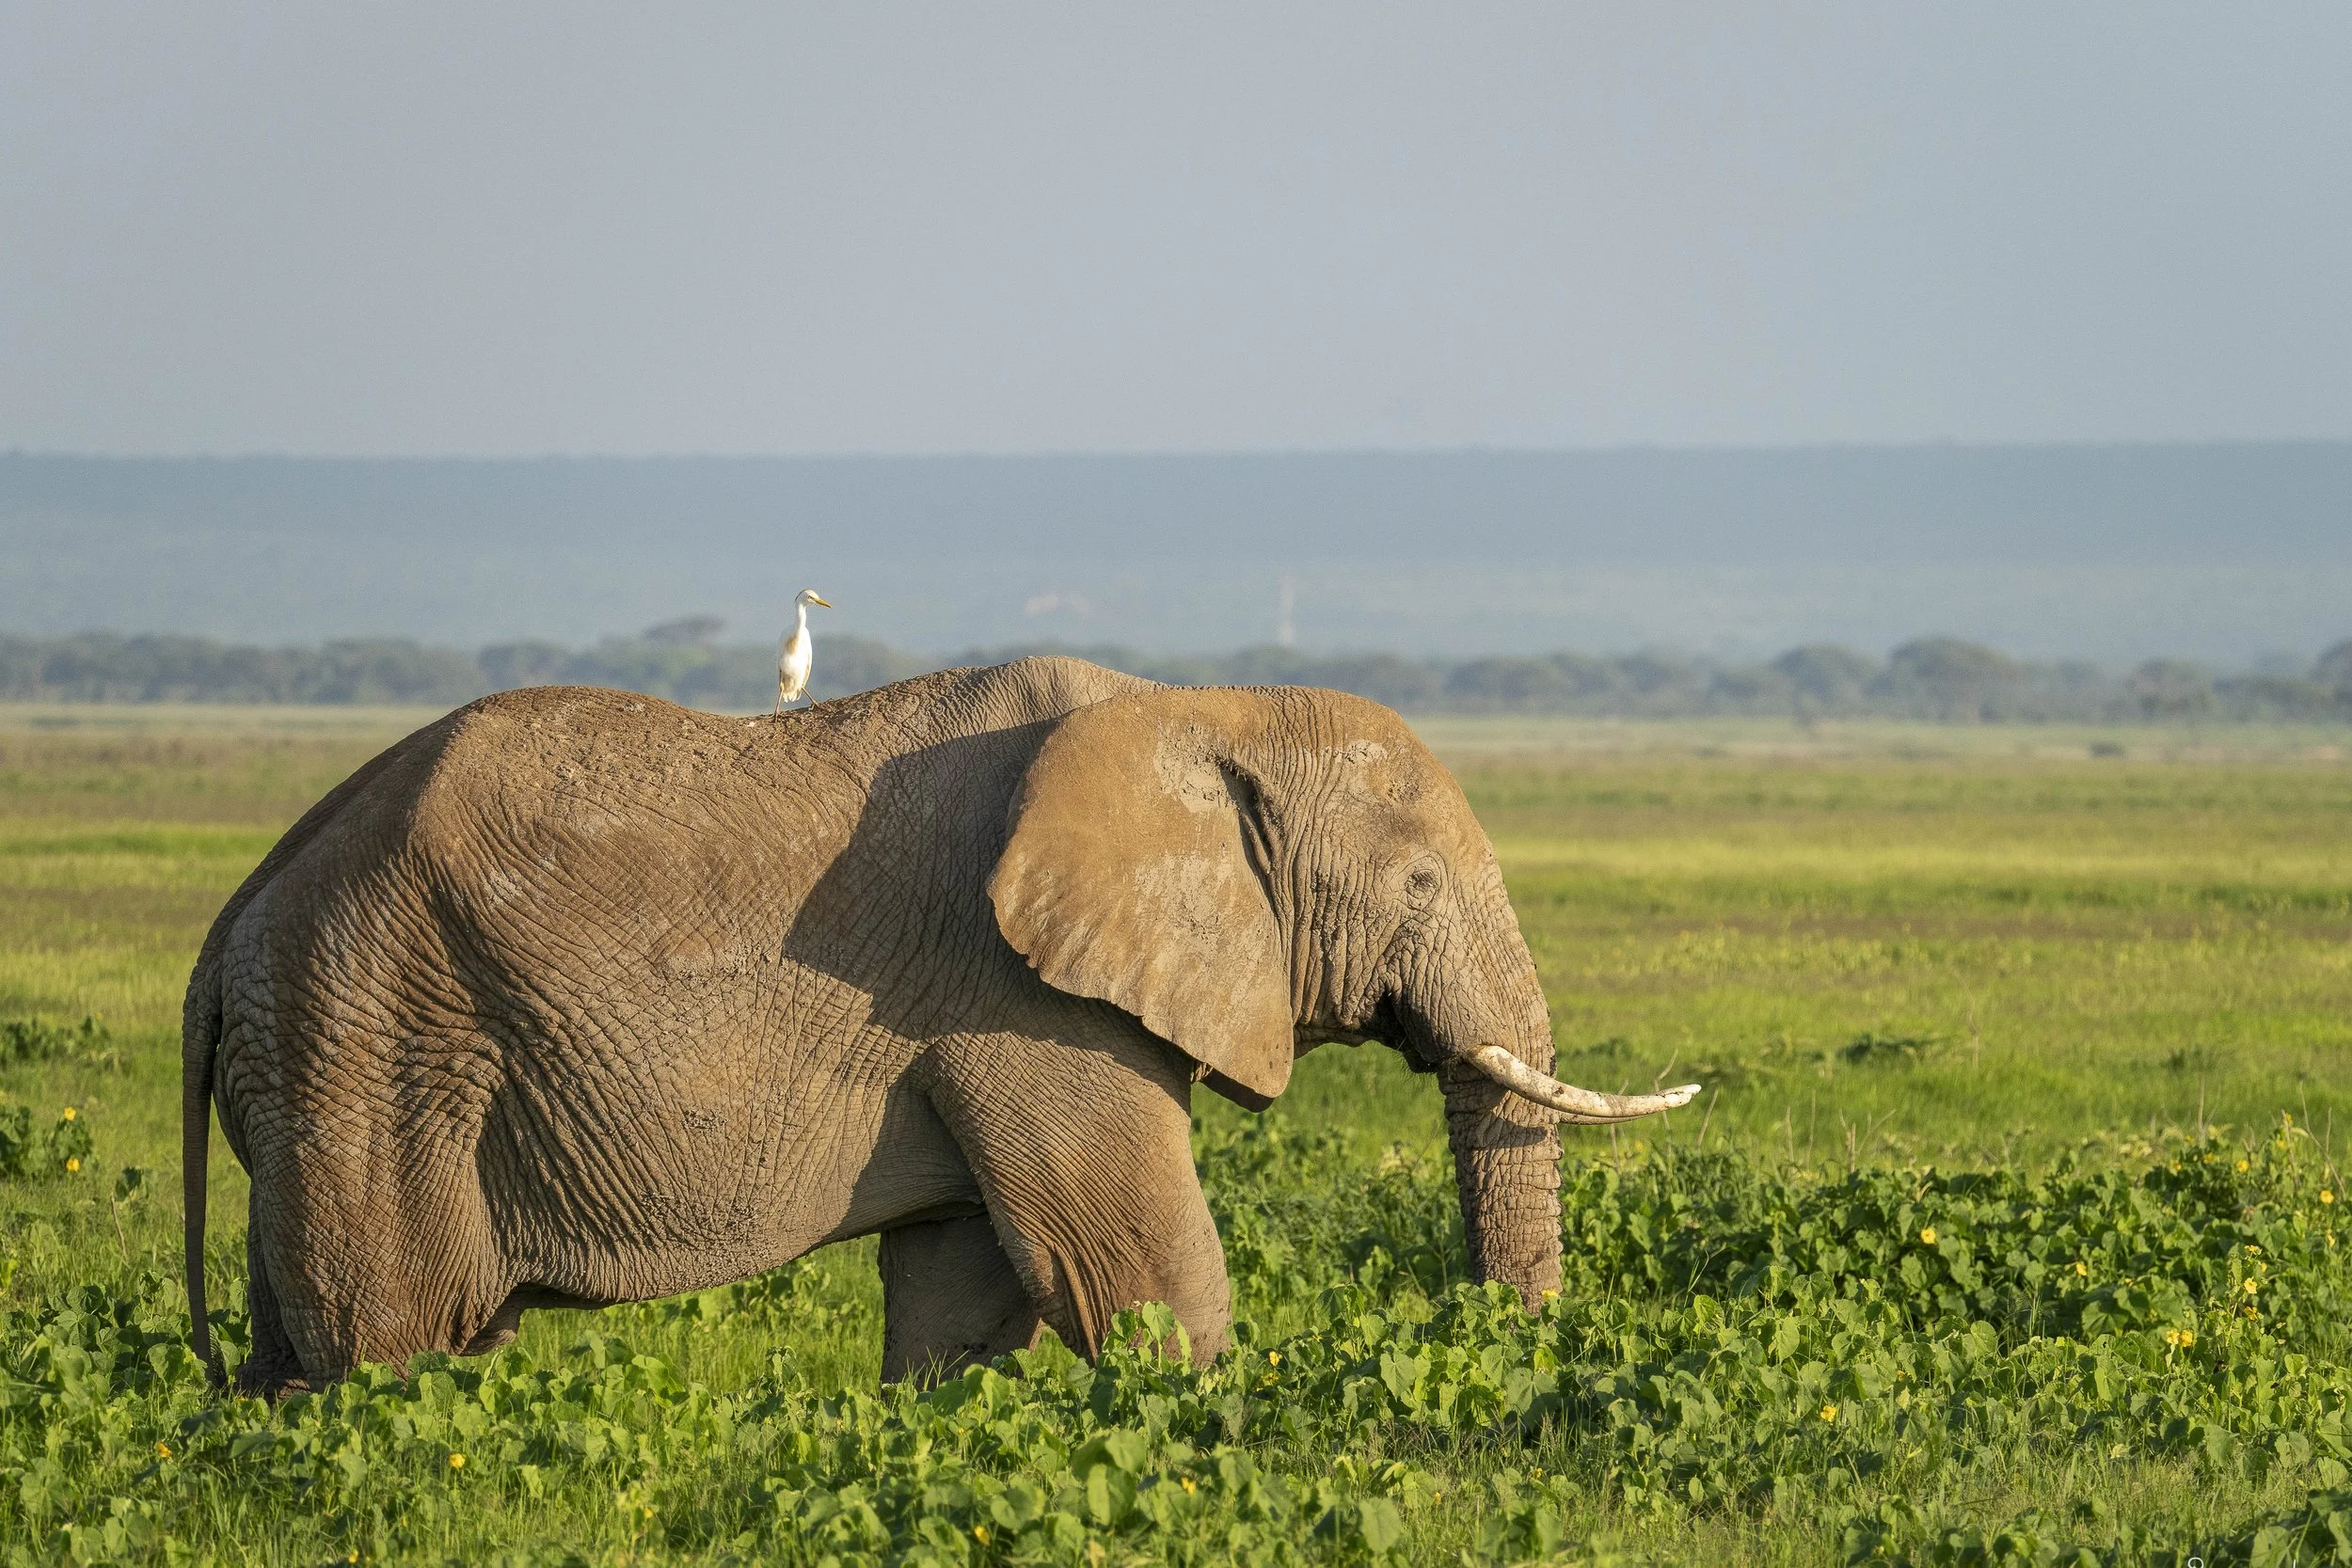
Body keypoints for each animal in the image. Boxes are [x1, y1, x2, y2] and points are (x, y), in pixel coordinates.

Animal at [182, 656, 1695, 1397]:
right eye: (1421, 886)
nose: (1506, 1358)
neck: (1197, 710)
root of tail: (231, 913)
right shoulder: (1016, 998)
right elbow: (1133, 1269)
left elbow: (965, 1294)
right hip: (372, 1039)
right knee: (390, 1342)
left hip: (320, 1045)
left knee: (294, 1352)